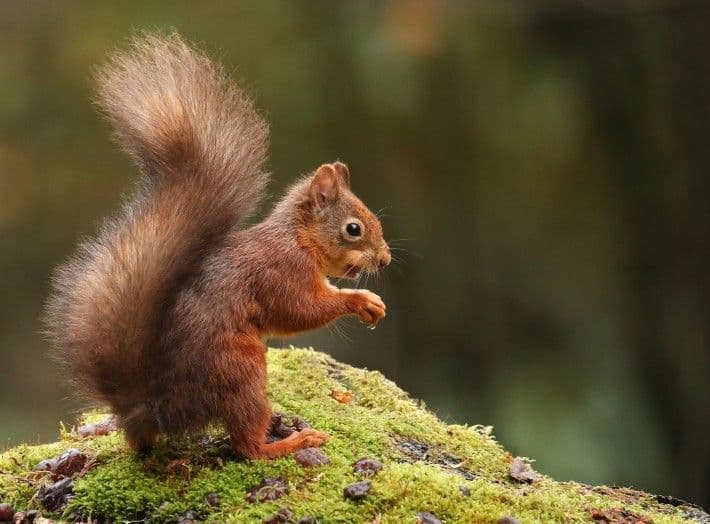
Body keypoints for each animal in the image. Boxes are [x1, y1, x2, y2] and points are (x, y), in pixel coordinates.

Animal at [43, 32, 394, 458]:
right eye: (353, 228)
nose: (386, 259)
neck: (298, 241)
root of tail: (153, 409)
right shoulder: (280, 272)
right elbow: (299, 311)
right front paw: (360, 301)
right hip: (240, 367)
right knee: (246, 446)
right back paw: (290, 441)